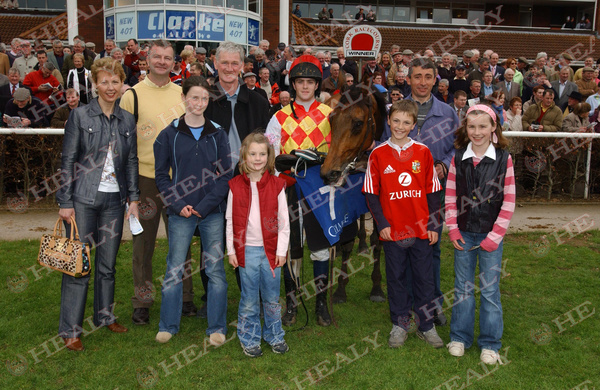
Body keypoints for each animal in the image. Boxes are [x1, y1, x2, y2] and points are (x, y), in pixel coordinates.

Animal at [324, 84, 390, 304]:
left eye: (358, 123)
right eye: (331, 119)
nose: (328, 172)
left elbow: (378, 240)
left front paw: (377, 287)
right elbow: (346, 242)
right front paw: (340, 289)